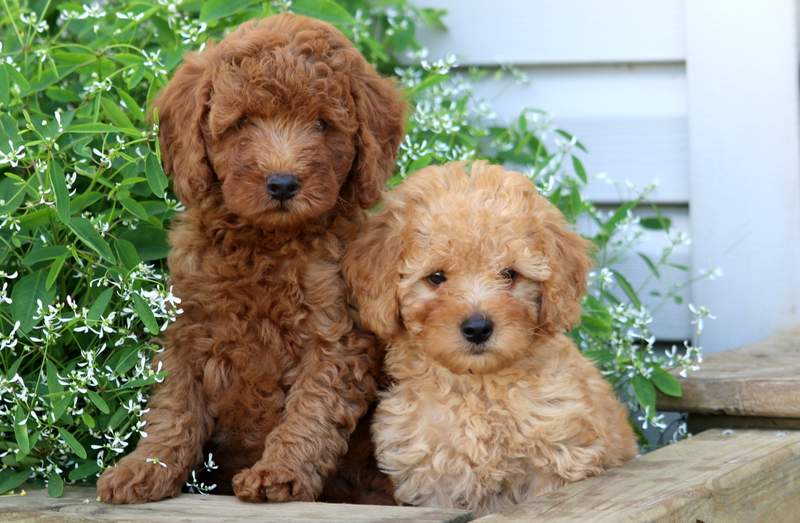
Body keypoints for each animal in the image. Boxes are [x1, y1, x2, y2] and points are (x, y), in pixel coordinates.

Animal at [96, 12, 404, 504]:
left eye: (322, 125)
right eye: (242, 123)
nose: (282, 183)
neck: (267, 241)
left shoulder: (333, 334)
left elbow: (311, 412)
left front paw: (279, 474)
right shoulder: (188, 326)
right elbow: (173, 410)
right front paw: (144, 468)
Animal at [344, 163, 636, 516]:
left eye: (509, 274)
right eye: (436, 277)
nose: (478, 328)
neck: (479, 387)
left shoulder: (554, 460)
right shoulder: (433, 477)